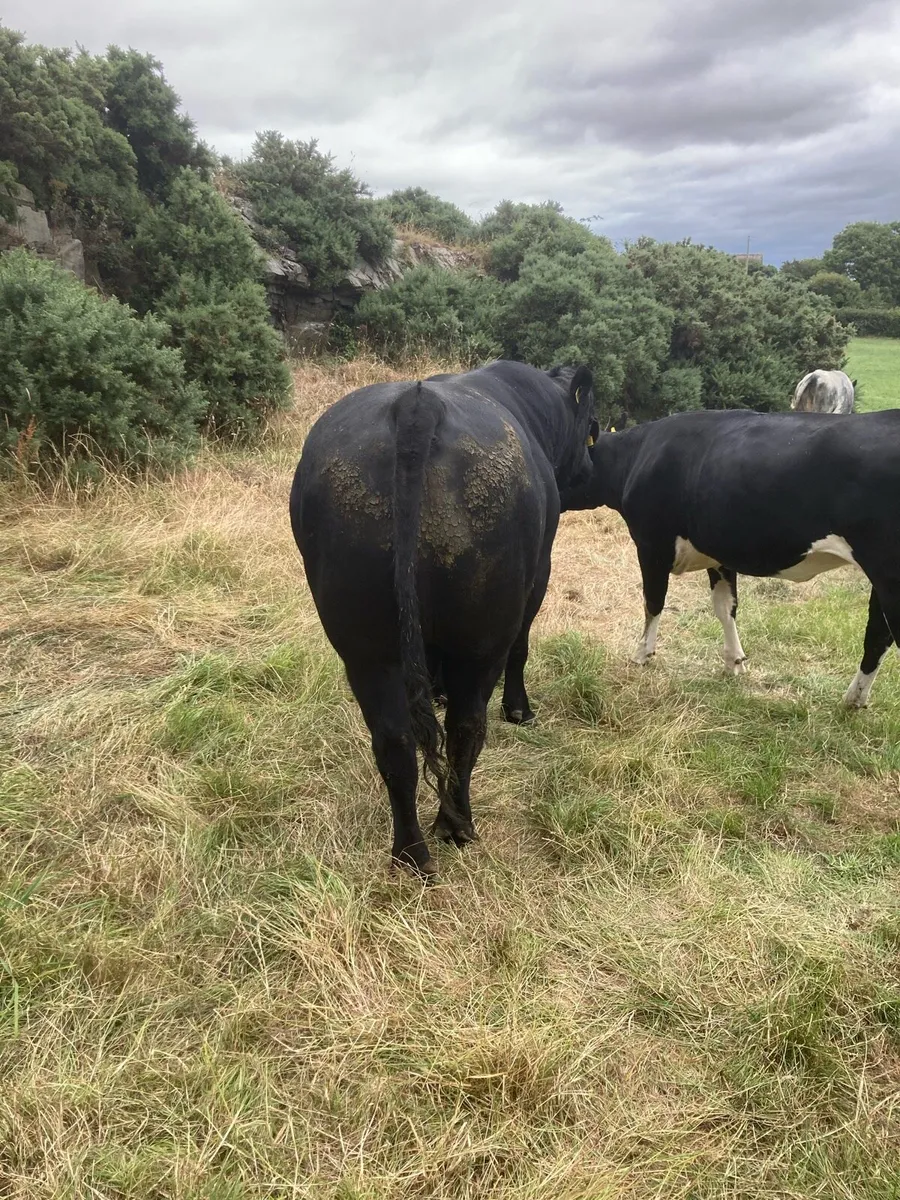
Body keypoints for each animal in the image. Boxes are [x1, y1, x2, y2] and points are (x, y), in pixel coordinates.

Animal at [290, 360, 596, 880]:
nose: (593, 470)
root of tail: (416, 406)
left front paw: (434, 689)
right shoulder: (539, 576)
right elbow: (522, 647)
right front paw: (520, 709)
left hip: (364, 644)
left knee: (393, 742)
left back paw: (411, 854)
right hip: (482, 638)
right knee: (466, 728)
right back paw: (457, 826)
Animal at [560, 408, 900, 709]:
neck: (636, 457)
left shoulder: (652, 544)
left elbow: (653, 601)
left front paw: (642, 654)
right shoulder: (718, 555)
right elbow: (726, 608)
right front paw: (734, 661)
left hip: (887, 572)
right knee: (877, 635)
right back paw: (853, 700)